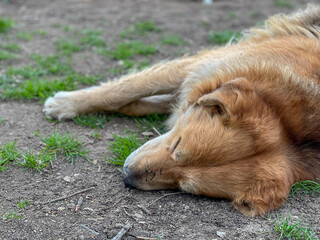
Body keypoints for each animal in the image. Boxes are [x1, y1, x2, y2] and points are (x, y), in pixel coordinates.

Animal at [43, 5, 320, 217]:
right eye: (176, 144)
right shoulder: (203, 64)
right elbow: (126, 88)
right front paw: (65, 103)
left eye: (184, 187)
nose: (127, 177)